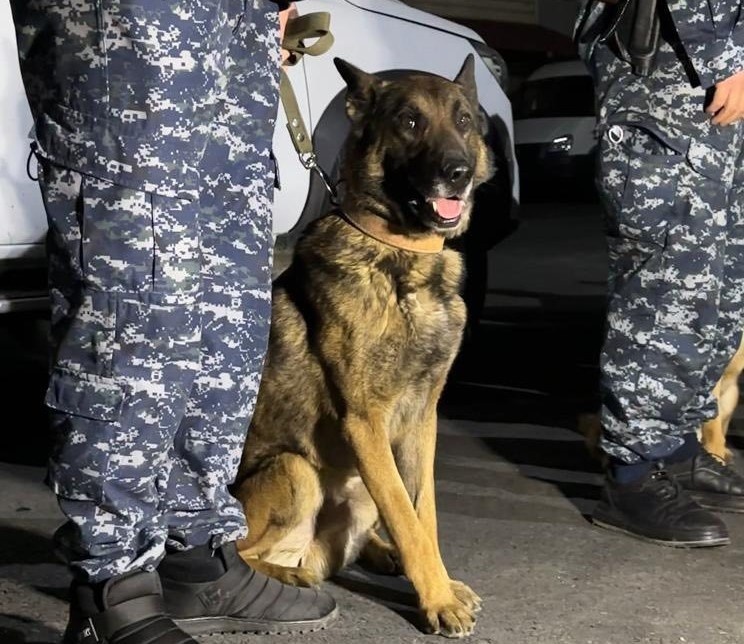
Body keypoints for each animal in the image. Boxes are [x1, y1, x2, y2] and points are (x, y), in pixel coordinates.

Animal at [230, 55, 494, 638]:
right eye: (410, 122)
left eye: (464, 120)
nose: (459, 171)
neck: (401, 255)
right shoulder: (364, 421)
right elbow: (406, 516)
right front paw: (437, 599)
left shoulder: (421, 420)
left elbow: (423, 514)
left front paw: (440, 582)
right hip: (296, 472)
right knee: (239, 550)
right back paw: (292, 579)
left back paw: (376, 553)